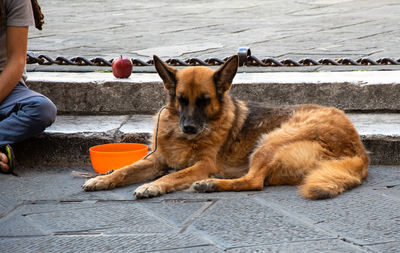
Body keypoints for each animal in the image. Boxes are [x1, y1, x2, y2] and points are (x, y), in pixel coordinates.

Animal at [82, 54, 368, 200]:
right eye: (181, 100)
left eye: (205, 101)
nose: (189, 128)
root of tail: (359, 151)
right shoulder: (156, 160)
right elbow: (126, 169)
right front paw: (103, 178)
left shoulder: (202, 164)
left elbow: (171, 176)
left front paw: (153, 185)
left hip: (271, 140)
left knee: (254, 182)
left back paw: (211, 184)